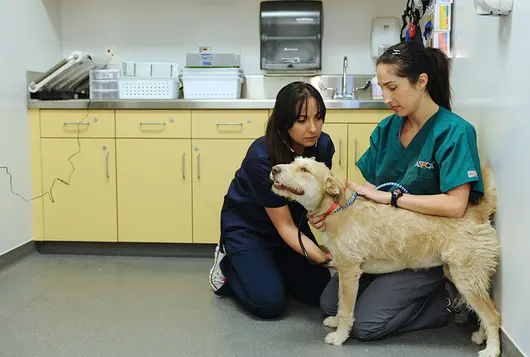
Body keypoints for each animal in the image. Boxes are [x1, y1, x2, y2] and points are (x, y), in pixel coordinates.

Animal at [268, 158, 500, 356]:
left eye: (304, 169)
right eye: (293, 162)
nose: (274, 169)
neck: (336, 208)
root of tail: (478, 213)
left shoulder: (349, 270)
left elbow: (345, 308)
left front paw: (340, 336)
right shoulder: (345, 272)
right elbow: (339, 302)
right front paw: (334, 320)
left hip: (466, 279)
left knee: (493, 315)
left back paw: (492, 349)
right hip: (459, 274)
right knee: (486, 310)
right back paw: (482, 336)